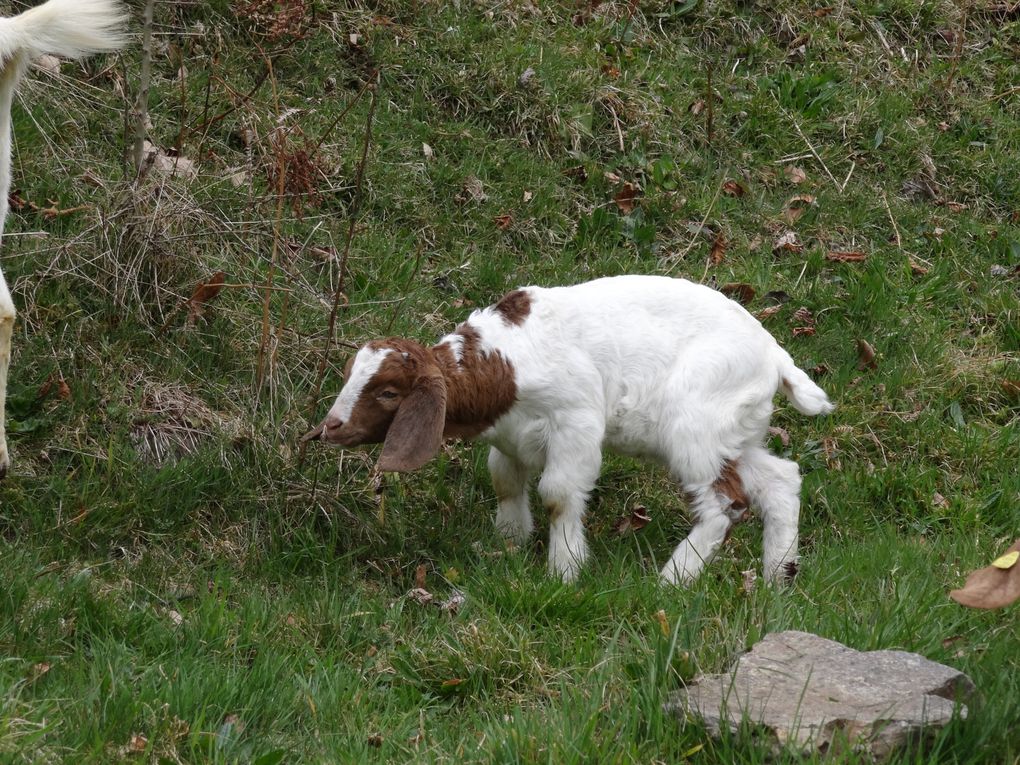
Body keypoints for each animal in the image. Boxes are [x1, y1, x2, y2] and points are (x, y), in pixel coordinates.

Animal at [306, 277, 832, 587]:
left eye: (389, 391)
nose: (331, 427)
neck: (503, 367)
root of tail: (774, 356)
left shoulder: (575, 421)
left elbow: (558, 494)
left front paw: (565, 570)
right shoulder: (509, 439)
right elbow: (505, 482)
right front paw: (508, 544)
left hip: (695, 428)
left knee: (725, 504)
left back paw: (673, 581)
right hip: (735, 433)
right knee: (780, 481)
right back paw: (778, 576)